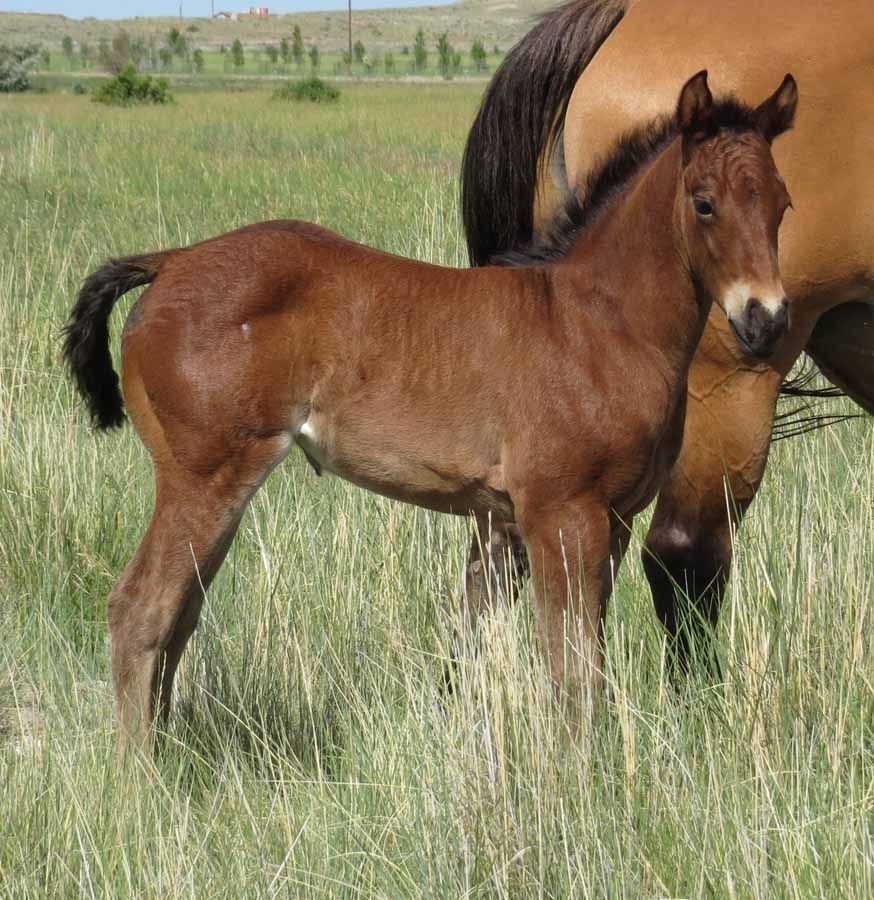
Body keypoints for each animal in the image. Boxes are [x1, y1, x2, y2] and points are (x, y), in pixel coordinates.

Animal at [63, 72, 796, 745]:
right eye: (704, 204)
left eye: (783, 205)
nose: (765, 320)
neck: (598, 322)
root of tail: (172, 262)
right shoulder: (559, 512)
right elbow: (570, 669)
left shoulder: (610, 522)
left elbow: (586, 657)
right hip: (204, 476)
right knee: (140, 611)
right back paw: (141, 781)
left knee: (179, 615)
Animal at [461, 0, 874, 673]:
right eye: (705, 205)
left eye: (783, 206)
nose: (765, 318)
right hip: (724, 383)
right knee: (681, 555)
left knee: (513, 554)